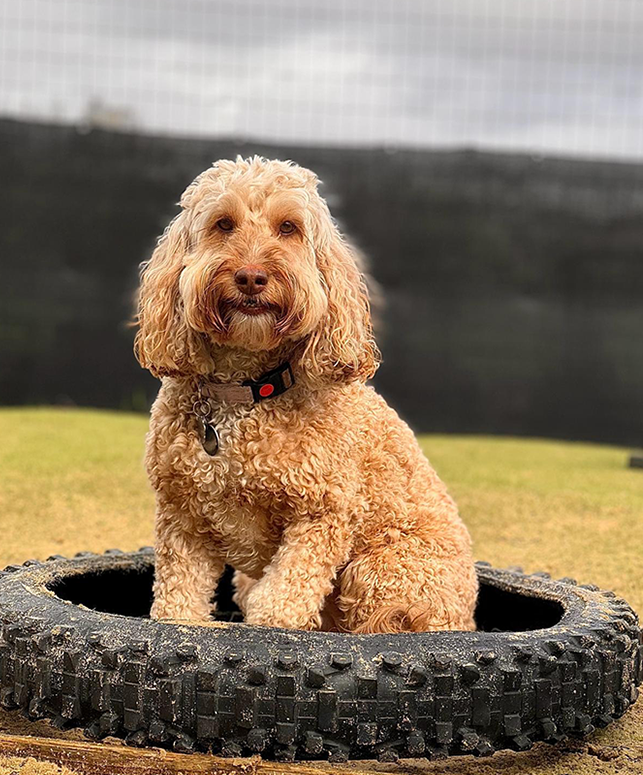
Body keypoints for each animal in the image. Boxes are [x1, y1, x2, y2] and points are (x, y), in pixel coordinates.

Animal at [136, 155, 478, 632]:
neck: (246, 392)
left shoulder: (322, 514)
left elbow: (284, 597)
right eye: (223, 224)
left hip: (381, 572)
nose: (251, 277)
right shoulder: (183, 519)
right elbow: (178, 598)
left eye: (288, 227)